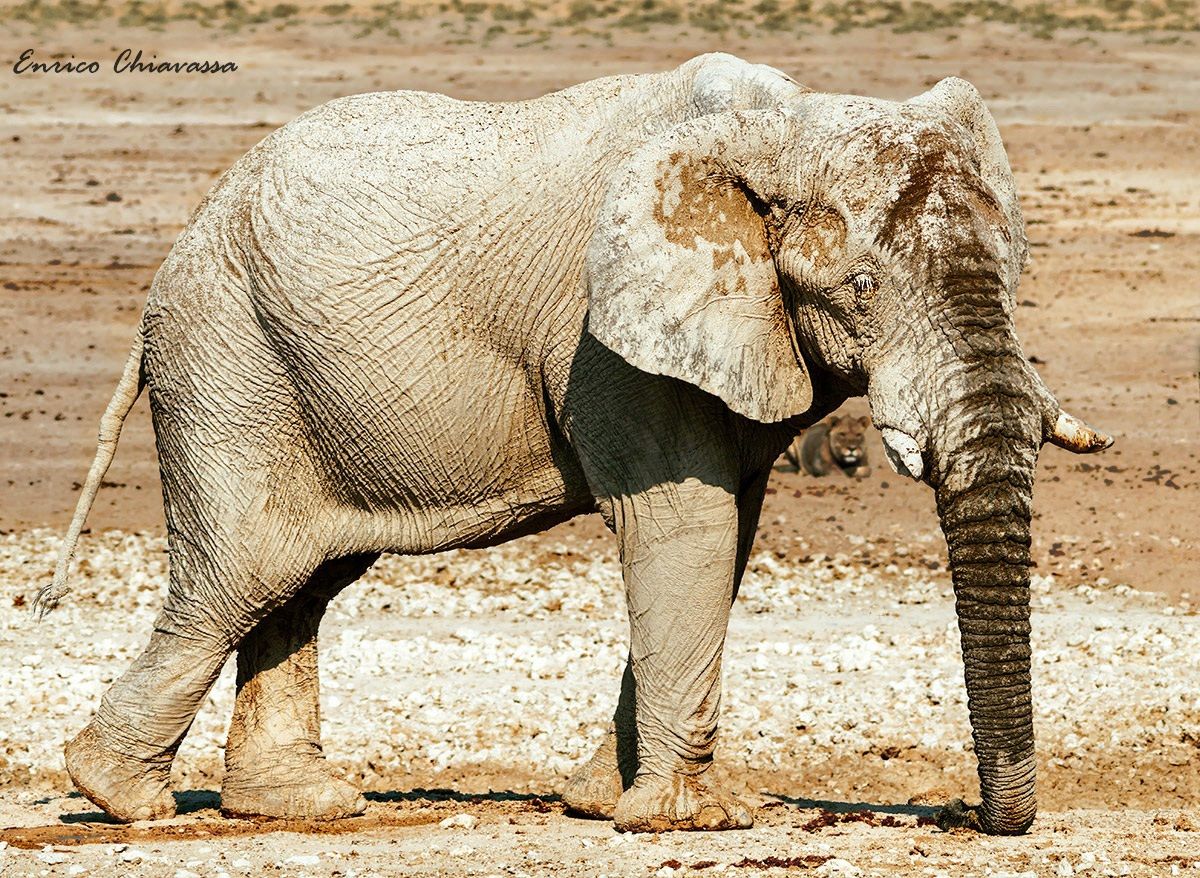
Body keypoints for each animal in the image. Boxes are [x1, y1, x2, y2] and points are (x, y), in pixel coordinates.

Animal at [36, 52, 1113, 835]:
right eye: (862, 289)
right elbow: (682, 526)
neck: (786, 124)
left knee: (301, 583)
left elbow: (722, 537)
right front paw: (693, 819)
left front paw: (604, 802)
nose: (977, 818)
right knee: (240, 577)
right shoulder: (607, 336)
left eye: (1014, 274)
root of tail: (173, 259)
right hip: (227, 362)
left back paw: (299, 806)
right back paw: (117, 798)